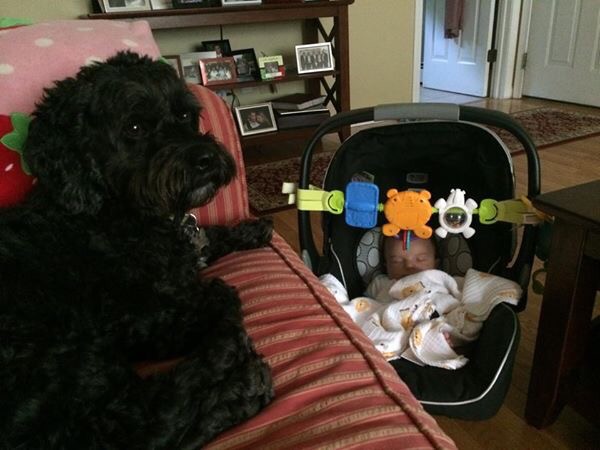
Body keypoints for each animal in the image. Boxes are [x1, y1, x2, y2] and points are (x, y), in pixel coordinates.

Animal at [0, 51, 274, 449]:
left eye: (185, 115)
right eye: (133, 128)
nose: (206, 158)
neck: (108, 212)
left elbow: (203, 241)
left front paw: (248, 229)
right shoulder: (140, 320)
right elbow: (215, 303)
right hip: (61, 357)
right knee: (145, 423)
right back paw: (242, 386)